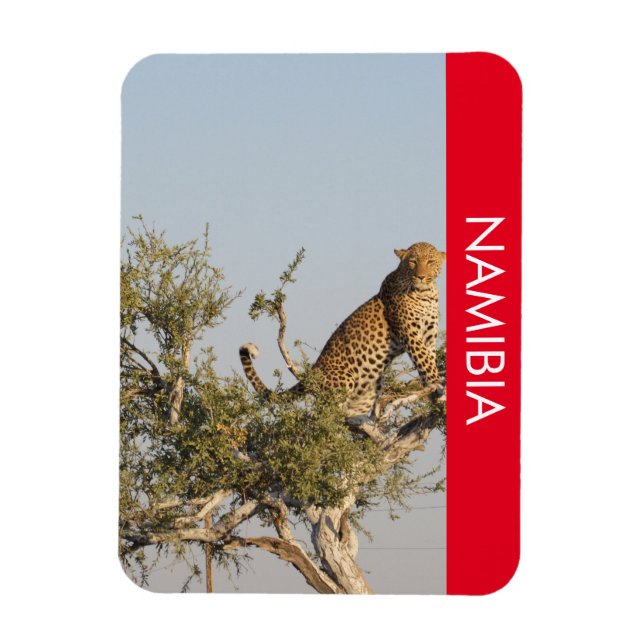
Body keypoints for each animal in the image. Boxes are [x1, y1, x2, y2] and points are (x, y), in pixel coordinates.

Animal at [239, 242, 446, 417]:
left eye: (430, 262)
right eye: (412, 262)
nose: (420, 276)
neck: (426, 294)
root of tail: (313, 371)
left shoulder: (429, 337)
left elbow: (429, 361)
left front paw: (433, 393)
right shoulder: (411, 335)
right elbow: (426, 363)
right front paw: (439, 387)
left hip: (367, 393)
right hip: (344, 380)